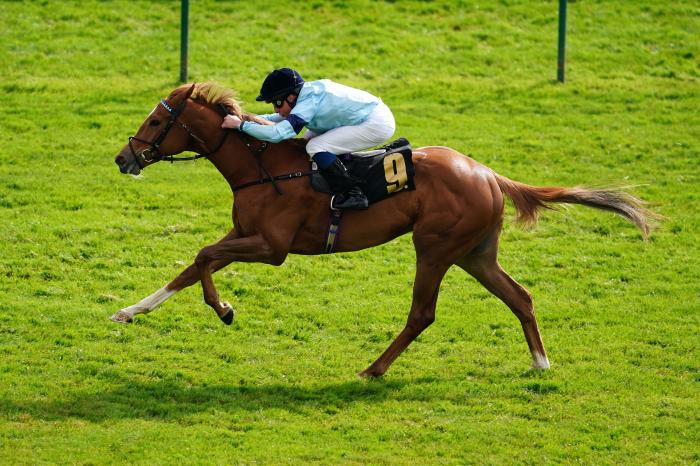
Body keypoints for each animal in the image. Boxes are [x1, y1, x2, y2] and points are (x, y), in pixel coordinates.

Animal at [110, 82, 656, 376]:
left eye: (156, 121)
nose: (123, 158)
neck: (262, 167)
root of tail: (487, 173)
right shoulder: (246, 237)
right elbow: (192, 264)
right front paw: (130, 311)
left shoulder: (271, 246)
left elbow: (203, 256)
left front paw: (224, 309)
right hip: (474, 253)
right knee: (520, 297)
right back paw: (541, 364)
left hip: (434, 248)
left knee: (422, 314)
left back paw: (373, 368)